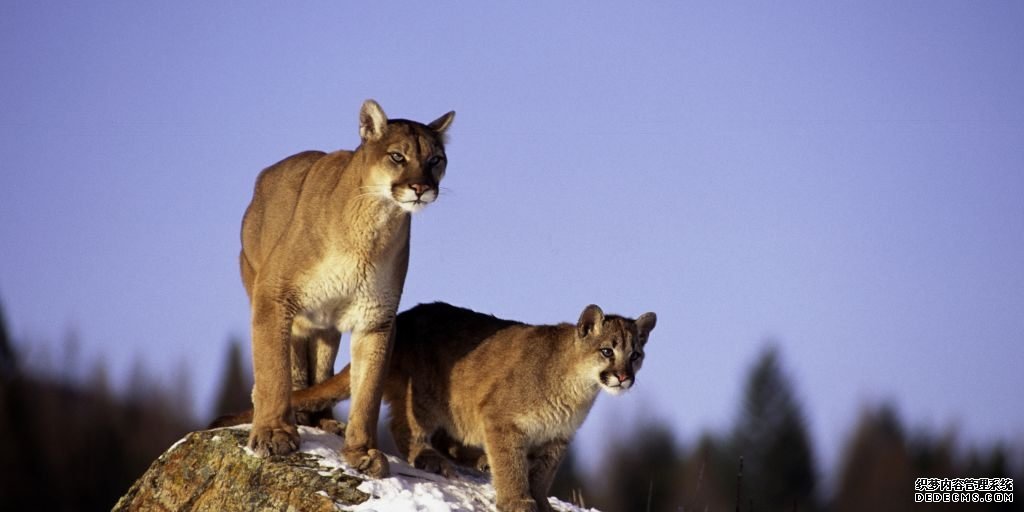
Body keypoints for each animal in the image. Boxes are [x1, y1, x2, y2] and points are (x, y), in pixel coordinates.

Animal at [215, 301, 655, 509]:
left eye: (636, 355)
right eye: (607, 351)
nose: (624, 377)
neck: (577, 389)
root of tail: (404, 318)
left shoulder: (555, 442)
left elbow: (542, 476)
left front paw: (542, 503)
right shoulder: (503, 421)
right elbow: (513, 468)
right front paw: (518, 502)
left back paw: (471, 458)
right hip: (426, 397)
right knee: (404, 428)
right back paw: (433, 459)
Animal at [237, 98, 454, 475]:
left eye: (435, 160)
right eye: (397, 156)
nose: (421, 187)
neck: (374, 225)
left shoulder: (376, 316)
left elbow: (367, 391)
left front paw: (362, 452)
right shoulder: (274, 295)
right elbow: (273, 369)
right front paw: (274, 433)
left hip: (327, 325)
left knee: (321, 368)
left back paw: (323, 420)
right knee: (293, 363)